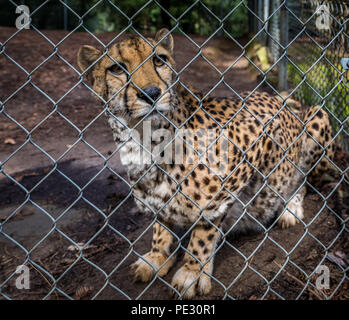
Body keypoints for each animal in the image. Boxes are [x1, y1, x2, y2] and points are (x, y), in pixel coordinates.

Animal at [77, 28, 334, 298]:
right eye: (116, 69)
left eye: (159, 60)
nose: (152, 93)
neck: (144, 140)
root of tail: (282, 98)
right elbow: (161, 224)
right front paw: (157, 256)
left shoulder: (248, 147)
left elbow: (204, 229)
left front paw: (191, 270)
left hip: (317, 116)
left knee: (303, 179)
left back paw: (289, 208)